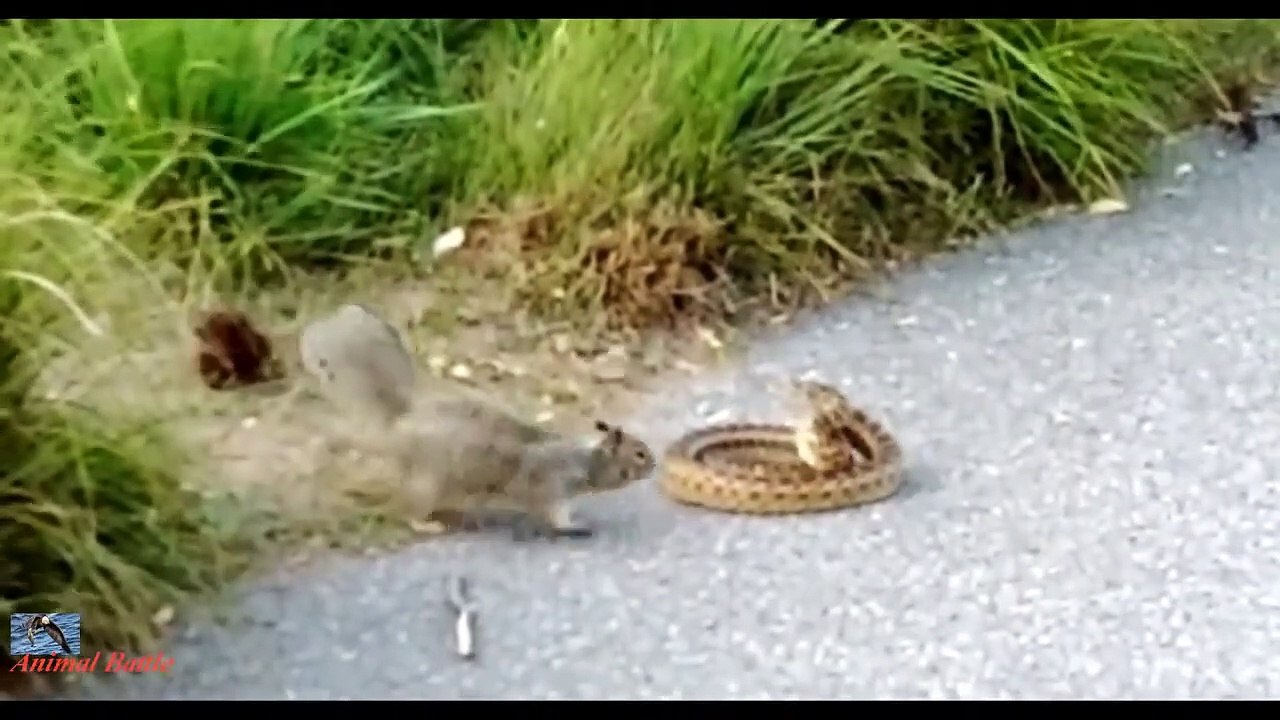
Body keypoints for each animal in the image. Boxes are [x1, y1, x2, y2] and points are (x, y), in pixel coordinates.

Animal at [297, 302, 656, 539]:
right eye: (639, 453)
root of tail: (397, 428)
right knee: (409, 511)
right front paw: (573, 527)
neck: (585, 459)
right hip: (428, 482)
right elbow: (553, 513)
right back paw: (428, 525)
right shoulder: (549, 484)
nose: (653, 466)